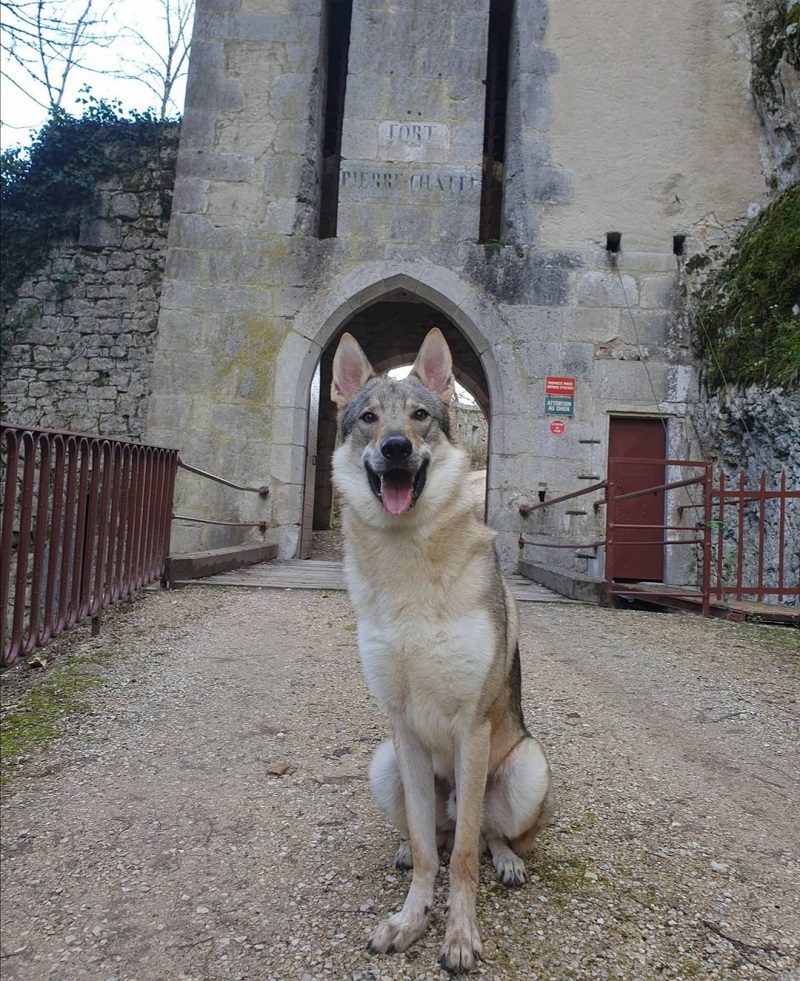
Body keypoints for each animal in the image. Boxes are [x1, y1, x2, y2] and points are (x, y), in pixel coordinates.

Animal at [332, 328, 556, 972]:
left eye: (420, 416)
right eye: (368, 419)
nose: (395, 448)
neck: (409, 559)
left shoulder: (470, 726)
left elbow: (461, 861)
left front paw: (459, 935)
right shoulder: (402, 725)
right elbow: (432, 854)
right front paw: (410, 921)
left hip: (526, 767)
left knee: (482, 835)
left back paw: (507, 859)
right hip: (383, 762)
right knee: (433, 834)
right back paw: (411, 852)